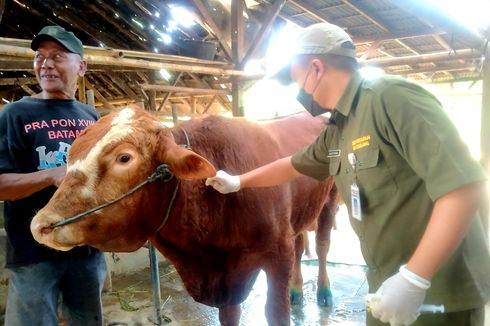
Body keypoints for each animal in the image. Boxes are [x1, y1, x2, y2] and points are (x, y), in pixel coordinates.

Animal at [30, 108, 336, 324]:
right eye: (70, 154)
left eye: (124, 158)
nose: (41, 225)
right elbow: (230, 316)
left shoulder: (277, 254)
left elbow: (276, 313)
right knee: (301, 245)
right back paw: (297, 292)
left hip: (330, 201)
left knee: (321, 245)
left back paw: (323, 293)